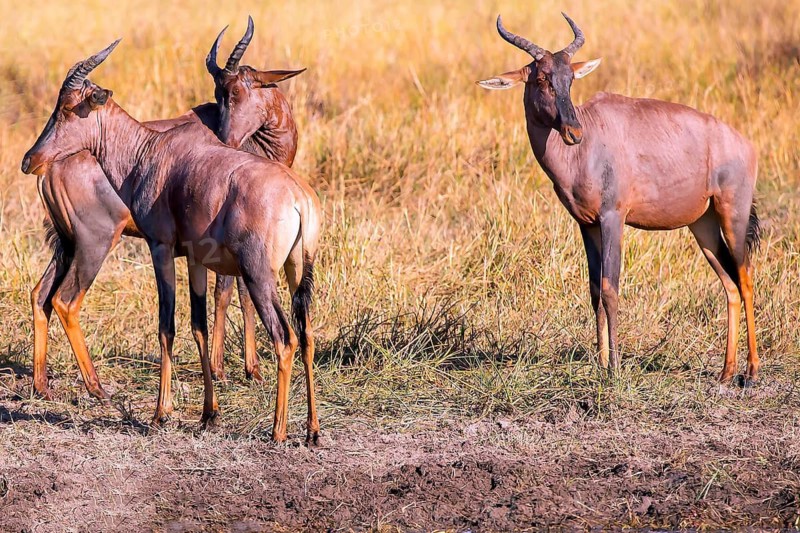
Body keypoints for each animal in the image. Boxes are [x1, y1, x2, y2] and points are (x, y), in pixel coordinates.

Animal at [22, 41, 322, 443]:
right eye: (221, 93)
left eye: (69, 108)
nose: (29, 160)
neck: (150, 151)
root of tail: (298, 198)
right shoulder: (190, 257)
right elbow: (196, 324)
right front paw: (207, 412)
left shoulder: (164, 248)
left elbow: (173, 324)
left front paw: (163, 413)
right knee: (304, 335)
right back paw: (310, 430)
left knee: (288, 336)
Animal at [478, 13, 760, 383]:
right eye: (541, 78)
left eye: (570, 79)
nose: (574, 132)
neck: (587, 148)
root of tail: (745, 144)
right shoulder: (586, 224)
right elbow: (595, 289)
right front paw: (600, 364)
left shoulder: (613, 217)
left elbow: (611, 287)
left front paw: (613, 369)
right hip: (704, 226)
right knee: (729, 285)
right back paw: (726, 373)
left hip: (733, 214)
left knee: (745, 278)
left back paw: (752, 371)